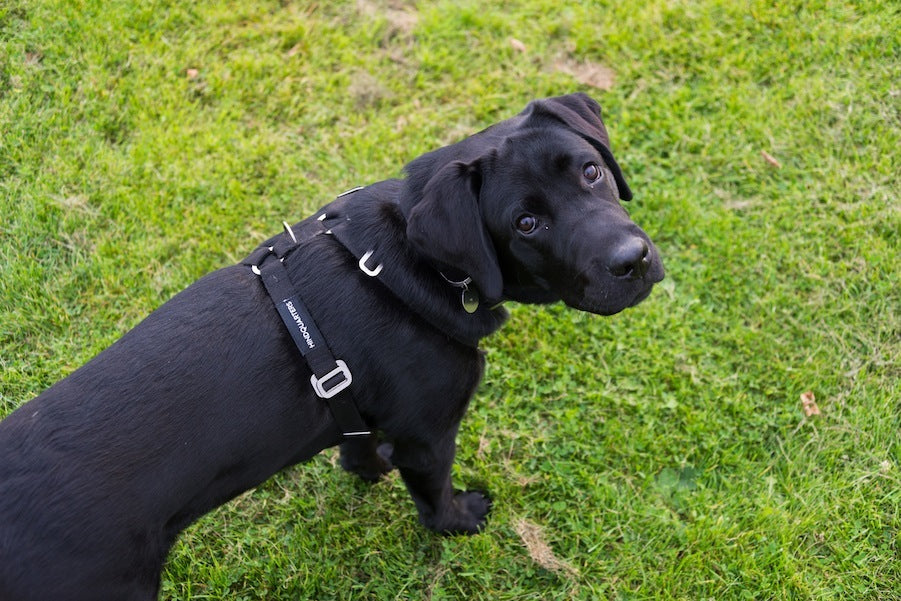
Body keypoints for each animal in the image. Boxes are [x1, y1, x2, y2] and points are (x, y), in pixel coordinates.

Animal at [0, 91, 660, 596]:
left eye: (591, 170)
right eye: (526, 224)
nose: (633, 260)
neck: (408, 261)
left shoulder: (357, 409)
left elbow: (357, 448)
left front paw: (368, 469)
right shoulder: (429, 435)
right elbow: (433, 497)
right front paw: (461, 519)